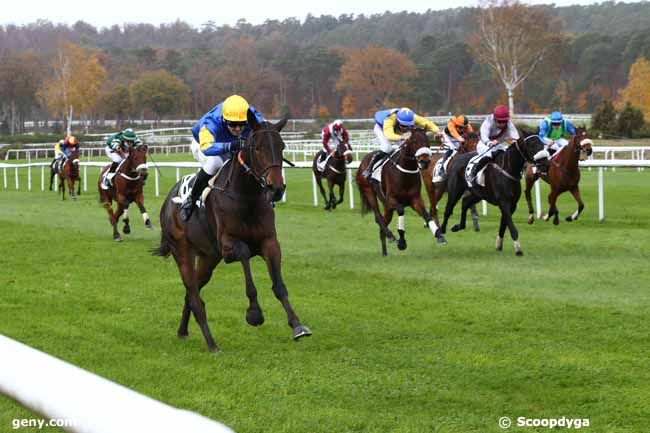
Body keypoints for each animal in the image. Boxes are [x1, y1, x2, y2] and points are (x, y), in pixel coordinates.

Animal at [154, 113, 312, 352]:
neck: (246, 196)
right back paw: (212, 344)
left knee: (192, 294)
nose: (276, 189)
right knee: (194, 296)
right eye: (257, 147)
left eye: (282, 146)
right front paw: (254, 314)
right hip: (182, 252)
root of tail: (167, 202)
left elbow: (279, 285)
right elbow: (245, 254)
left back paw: (182, 331)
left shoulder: (269, 242)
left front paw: (297, 325)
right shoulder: (229, 245)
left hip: (208, 258)